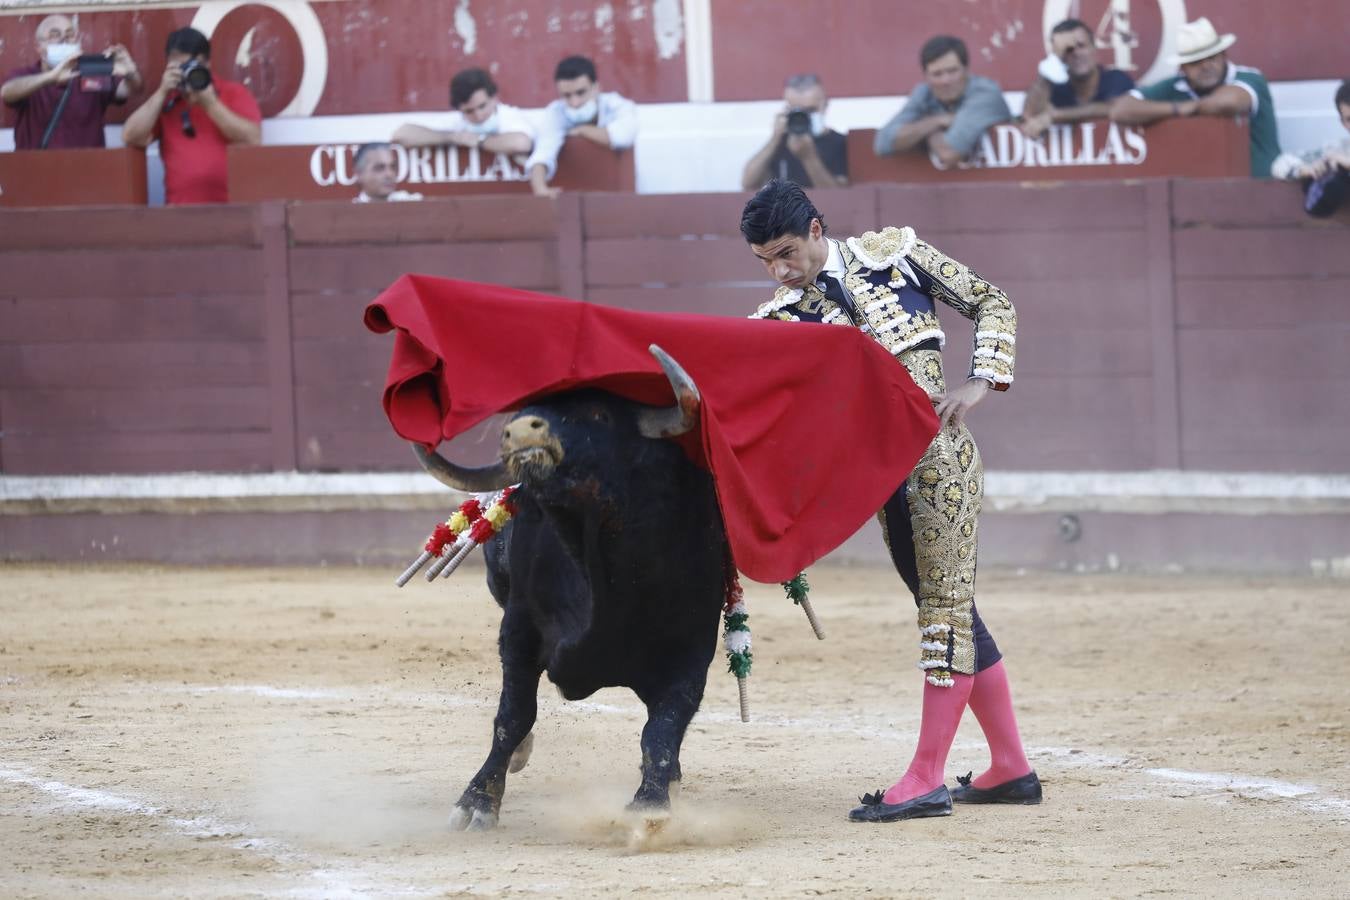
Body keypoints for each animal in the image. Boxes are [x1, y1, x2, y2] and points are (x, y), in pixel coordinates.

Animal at [415, 348, 729, 831]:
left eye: (599, 413)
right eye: (524, 409)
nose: (520, 431)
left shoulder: (693, 648)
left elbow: (663, 727)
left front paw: (650, 807)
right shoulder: (519, 630)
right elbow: (512, 716)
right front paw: (476, 802)